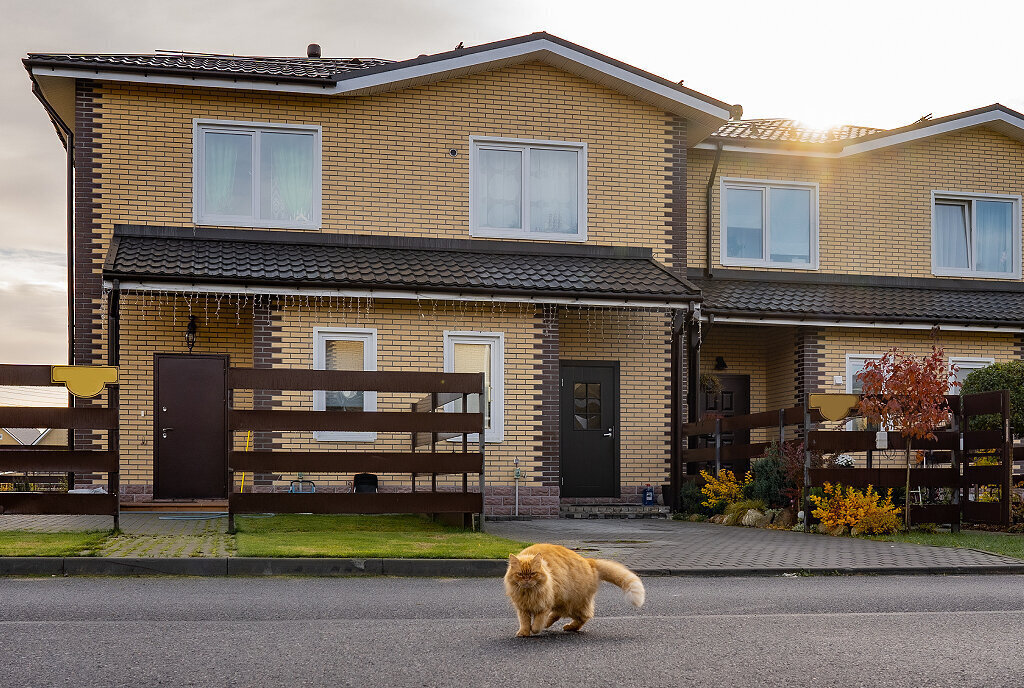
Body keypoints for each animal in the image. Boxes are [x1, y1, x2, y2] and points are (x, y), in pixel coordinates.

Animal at [505, 540, 647, 638]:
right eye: (520, 574)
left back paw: (564, 626)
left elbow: (537, 623)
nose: (526, 579)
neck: (528, 593)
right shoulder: (522, 608)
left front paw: (534, 629)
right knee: (563, 615)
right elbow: (524, 621)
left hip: (573, 603)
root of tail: (589, 561)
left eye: (533, 573)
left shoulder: (544, 605)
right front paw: (524, 632)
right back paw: (561, 625)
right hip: (565, 603)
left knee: (585, 616)